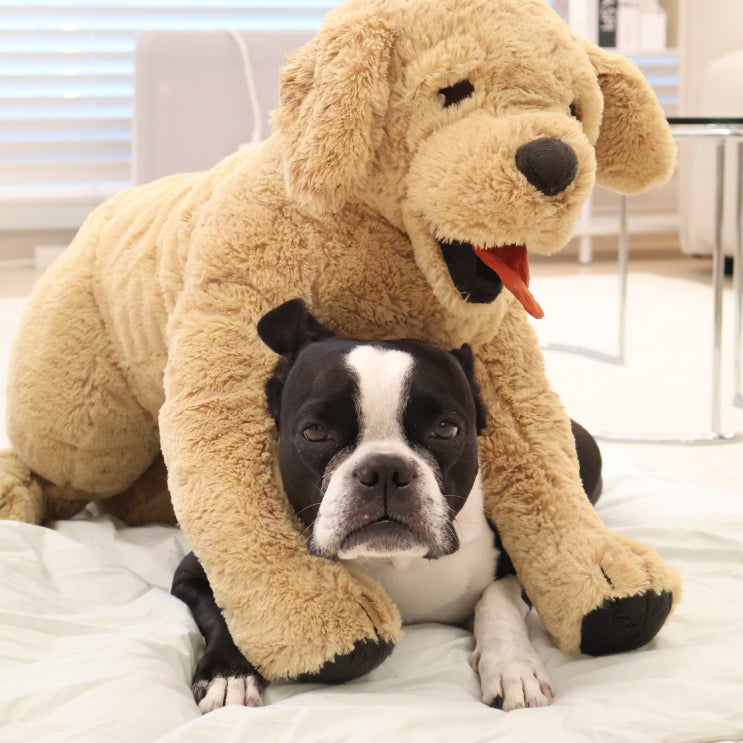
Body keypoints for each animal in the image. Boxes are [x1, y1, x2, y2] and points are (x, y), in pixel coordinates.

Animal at [172, 299, 603, 713]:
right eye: (315, 432)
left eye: (446, 429)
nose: (384, 469)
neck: (392, 562)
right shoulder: (195, 573)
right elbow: (231, 606)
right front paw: (230, 674)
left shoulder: (512, 565)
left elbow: (498, 600)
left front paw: (514, 668)